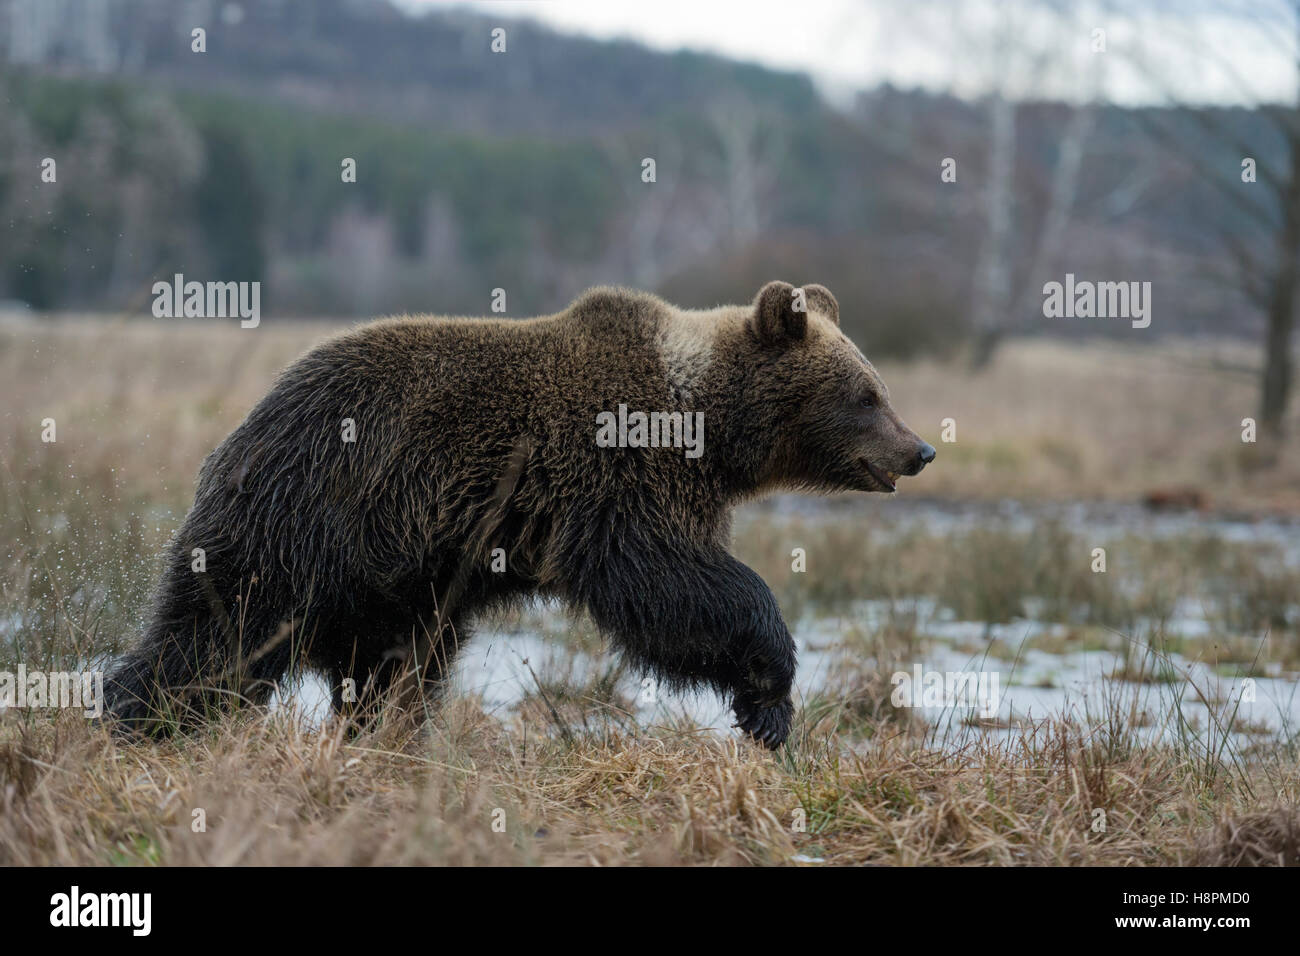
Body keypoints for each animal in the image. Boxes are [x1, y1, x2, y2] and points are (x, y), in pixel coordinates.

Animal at [104, 278, 935, 749]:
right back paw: (132, 719)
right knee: (217, 640)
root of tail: (236, 435)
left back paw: (385, 740)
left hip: (395, 580)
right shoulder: (619, 477)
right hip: (309, 521)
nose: (920, 448)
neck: (707, 428)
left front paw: (764, 707)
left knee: (391, 667)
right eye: (866, 394)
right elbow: (671, 586)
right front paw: (769, 691)